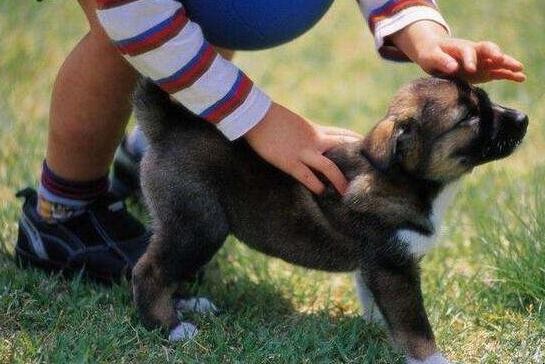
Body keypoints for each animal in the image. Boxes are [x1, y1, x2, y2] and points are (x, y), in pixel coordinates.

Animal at [132, 78, 528, 362]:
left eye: (485, 98)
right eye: (470, 118)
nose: (524, 119)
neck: (409, 182)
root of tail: (169, 126)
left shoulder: (377, 266)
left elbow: (376, 303)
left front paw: (375, 328)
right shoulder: (394, 268)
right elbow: (416, 328)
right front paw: (432, 359)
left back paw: (187, 304)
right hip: (199, 225)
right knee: (149, 269)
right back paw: (172, 328)